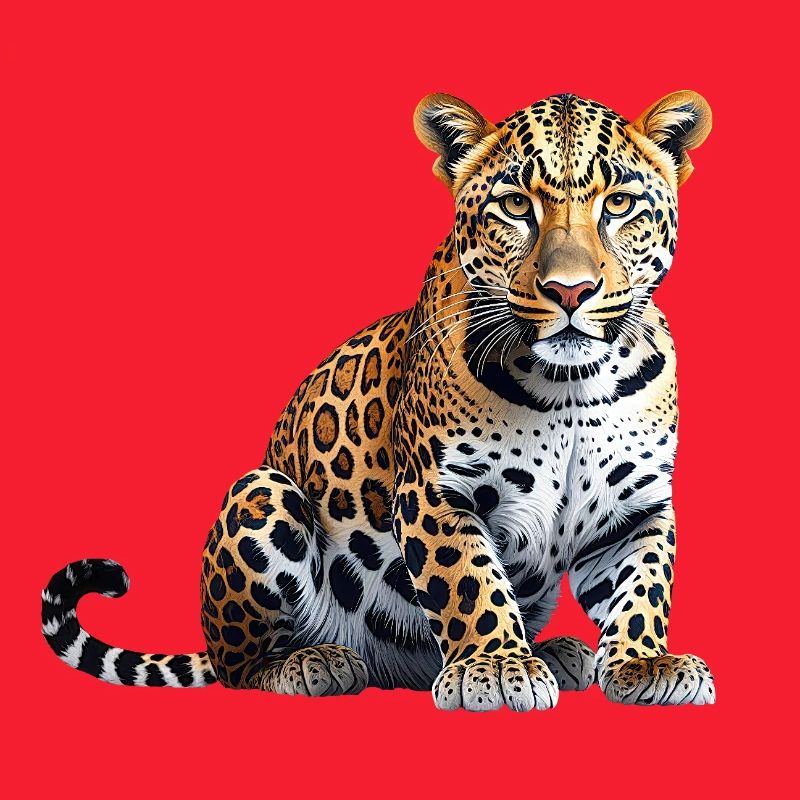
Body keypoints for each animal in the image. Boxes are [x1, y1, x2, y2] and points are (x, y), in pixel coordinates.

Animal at [43, 90, 715, 711]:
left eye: (619, 204)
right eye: (516, 205)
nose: (570, 291)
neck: (573, 383)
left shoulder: (638, 506)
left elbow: (642, 588)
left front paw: (643, 665)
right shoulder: (437, 491)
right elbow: (469, 581)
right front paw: (496, 667)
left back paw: (557, 652)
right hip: (264, 494)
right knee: (240, 667)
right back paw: (313, 663)